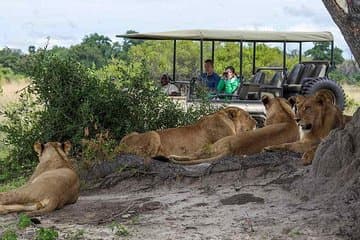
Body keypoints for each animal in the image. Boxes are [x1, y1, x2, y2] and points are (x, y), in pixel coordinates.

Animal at [118, 106, 256, 158]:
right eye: (248, 116)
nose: (256, 122)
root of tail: (118, 147)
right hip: (153, 133)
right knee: (147, 155)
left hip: (133, 132)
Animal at [170, 96, 300, 165]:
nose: (257, 123)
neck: (287, 115)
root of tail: (230, 150)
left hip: (213, 144)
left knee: (194, 155)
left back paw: (172, 157)